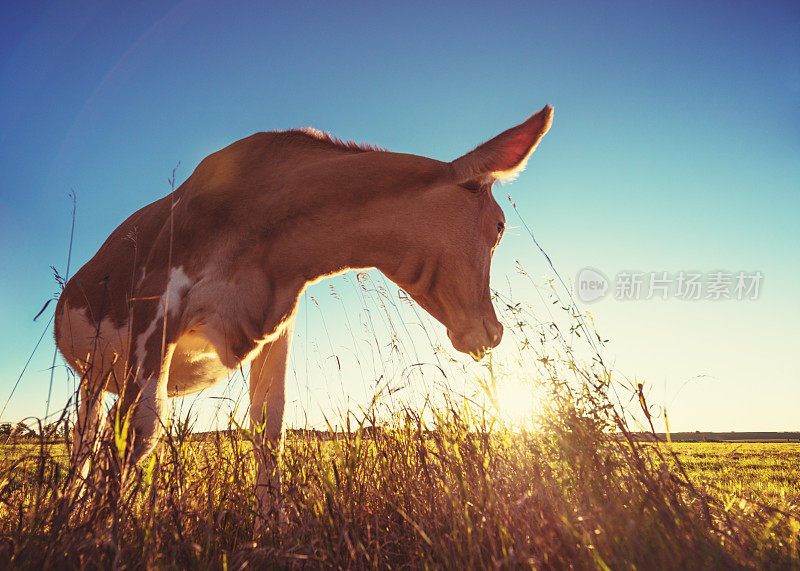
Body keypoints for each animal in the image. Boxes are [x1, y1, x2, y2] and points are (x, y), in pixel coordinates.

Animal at [54, 104, 552, 520]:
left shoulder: (275, 326)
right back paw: (69, 511)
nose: (494, 331)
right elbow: (140, 429)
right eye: (500, 226)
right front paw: (103, 534)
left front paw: (271, 528)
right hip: (93, 374)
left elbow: (268, 428)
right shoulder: (157, 305)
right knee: (86, 439)